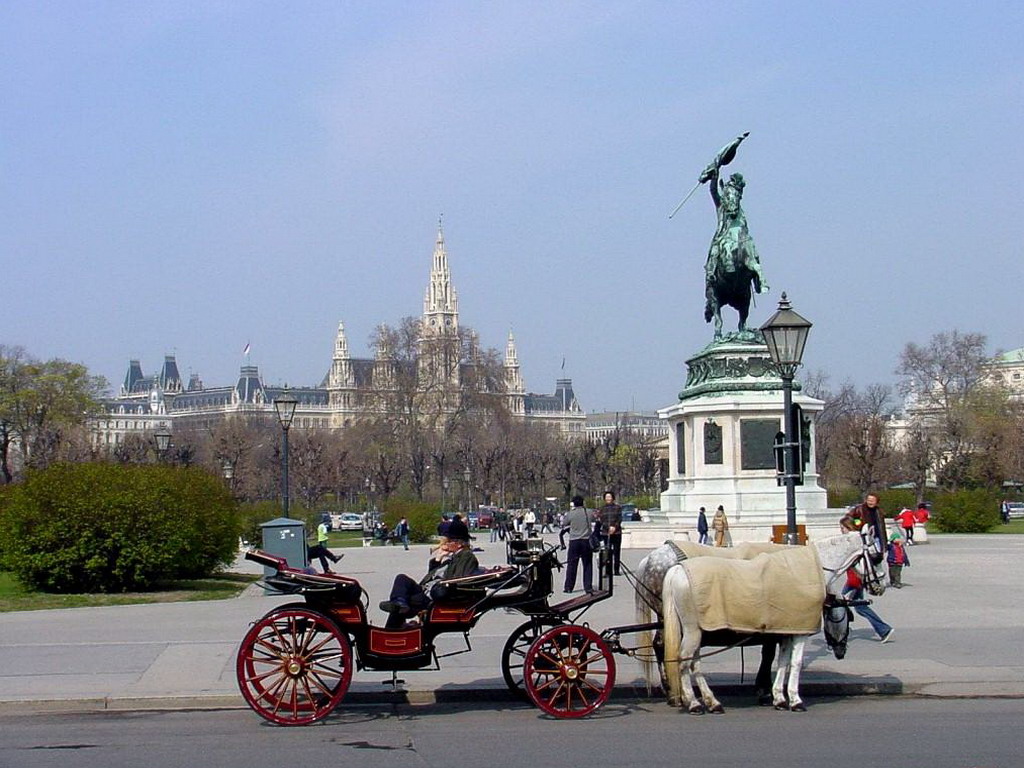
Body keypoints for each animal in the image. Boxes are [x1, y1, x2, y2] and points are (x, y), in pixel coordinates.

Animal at [656, 530, 886, 714]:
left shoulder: (786, 629)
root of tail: (677, 569)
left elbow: (782, 661)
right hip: (693, 629)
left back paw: (711, 701)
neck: (815, 568)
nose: (882, 585)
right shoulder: (800, 629)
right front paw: (794, 699)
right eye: (876, 557)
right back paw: (693, 703)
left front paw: (779, 697)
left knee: (693, 662)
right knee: (683, 660)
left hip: (696, 629)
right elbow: (796, 662)